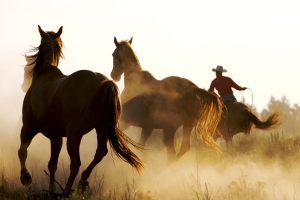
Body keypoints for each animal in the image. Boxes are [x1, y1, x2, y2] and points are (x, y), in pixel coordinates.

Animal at [18, 25, 144, 196]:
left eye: (27, 68)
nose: (23, 86)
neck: (44, 75)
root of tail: (104, 83)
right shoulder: (56, 137)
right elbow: (52, 164)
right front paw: (51, 191)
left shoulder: (28, 127)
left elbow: (22, 151)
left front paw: (26, 177)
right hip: (101, 128)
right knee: (100, 153)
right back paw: (82, 182)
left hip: (74, 135)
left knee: (76, 163)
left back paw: (66, 191)